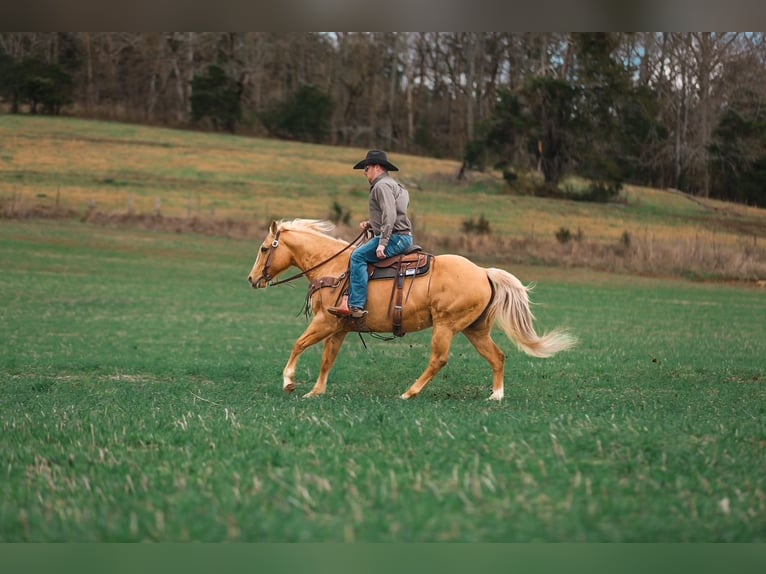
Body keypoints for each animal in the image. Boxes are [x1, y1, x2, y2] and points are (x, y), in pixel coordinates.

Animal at [247, 218, 576, 400]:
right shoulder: (339, 327)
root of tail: (483, 272)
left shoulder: (324, 322)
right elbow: (328, 359)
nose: (251, 279)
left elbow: (298, 344)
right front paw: (315, 392)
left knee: (439, 359)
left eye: (264, 249)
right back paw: (495, 396)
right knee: (497, 356)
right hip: (475, 329)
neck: (335, 267)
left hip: (446, 326)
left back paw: (410, 392)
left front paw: (289, 382)